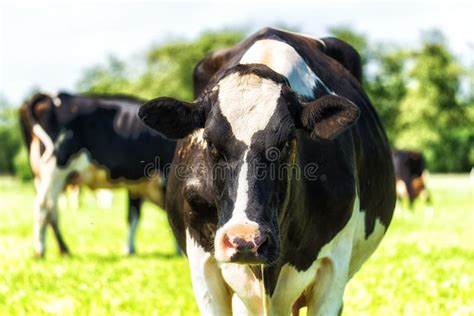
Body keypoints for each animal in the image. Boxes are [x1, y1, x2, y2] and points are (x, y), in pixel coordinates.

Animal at [19, 92, 176, 258]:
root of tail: (48, 95)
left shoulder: (136, 185)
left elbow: (133, 216)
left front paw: (130, 249)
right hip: (55, 169)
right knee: (44, 206)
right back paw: (41, 251)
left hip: (41, 174)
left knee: (51, 209)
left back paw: (63, 249)